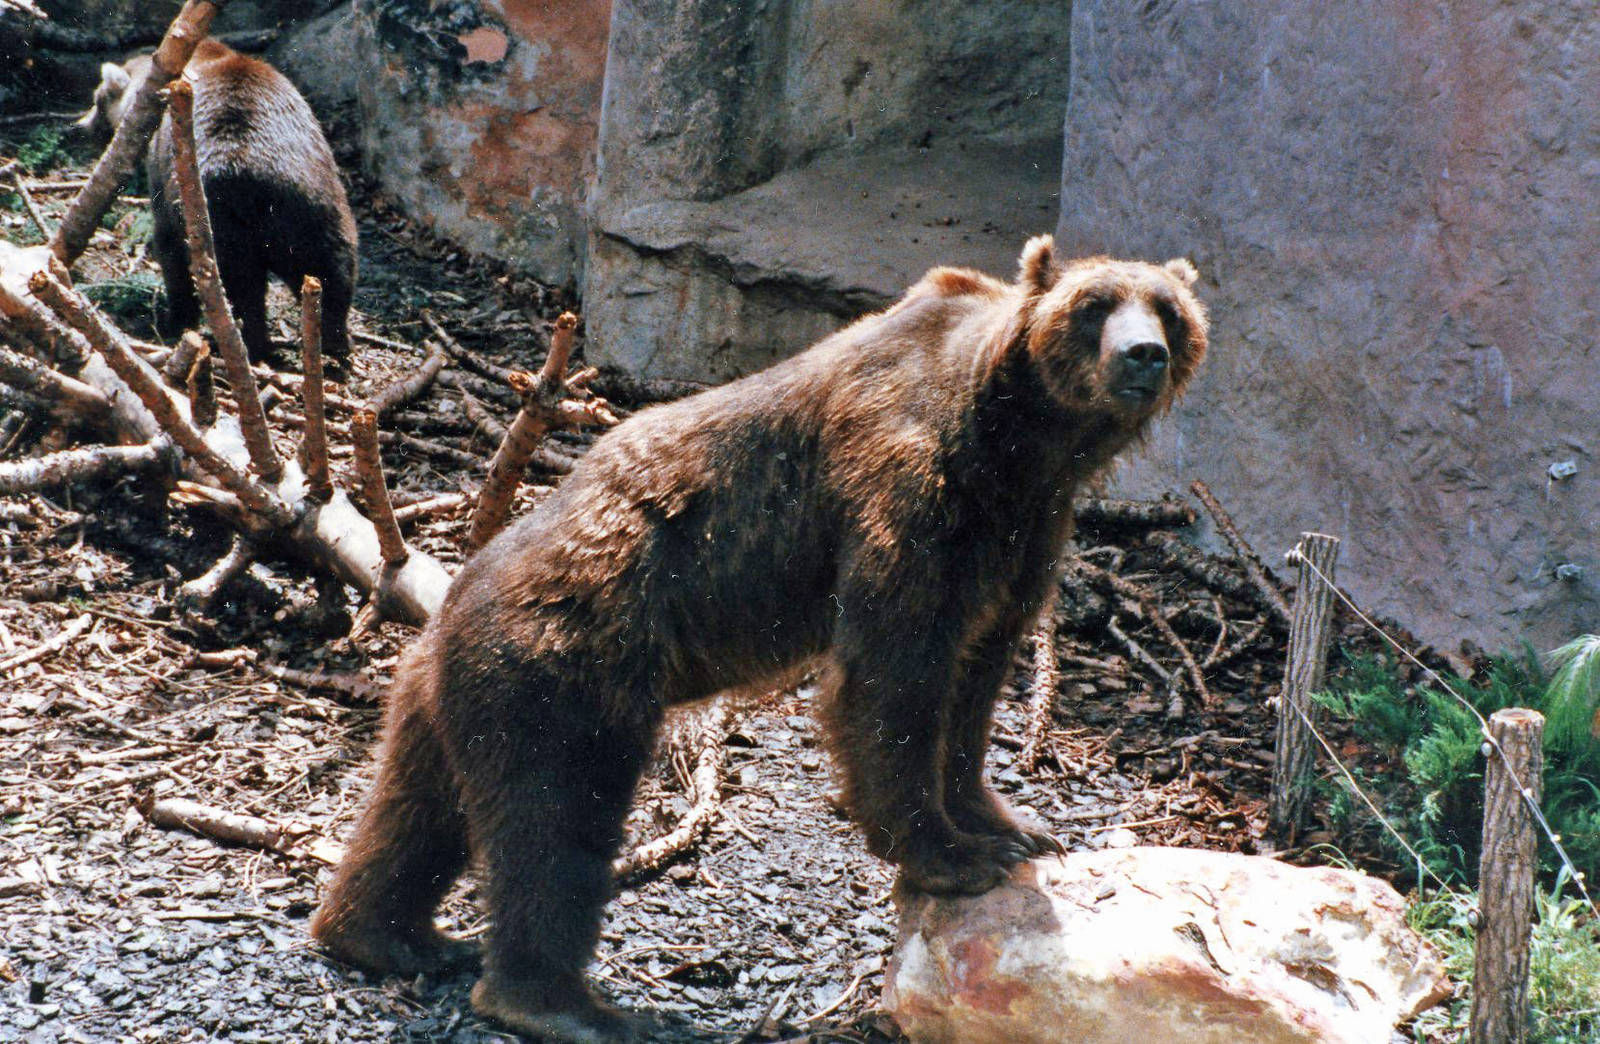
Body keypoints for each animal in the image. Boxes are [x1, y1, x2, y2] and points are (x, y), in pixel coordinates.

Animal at [76, 40, 358, 364]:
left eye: (98, 99)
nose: (81, 125)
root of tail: (250, 171)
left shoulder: (163, 172)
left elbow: (169, 249)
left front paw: (177, 320)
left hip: (217, 210)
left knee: (239, 281)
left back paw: (252, 343)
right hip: (312, 198)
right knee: (334, 264)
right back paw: (335, 341)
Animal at [312, 237, 1209, 1042]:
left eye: (1168, 308)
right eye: (1095, 304)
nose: (1145, 354)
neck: (1018, 439)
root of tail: (446, 603)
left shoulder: (1022, 536)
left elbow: (974, 679)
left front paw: (1009, 822)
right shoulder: (906, 488)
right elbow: (894, 673)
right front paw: (950, 854)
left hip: (444, 697)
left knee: (418, 809)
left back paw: (388, 934)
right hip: (561, 673)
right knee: (555, 825)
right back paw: (570, 1006)